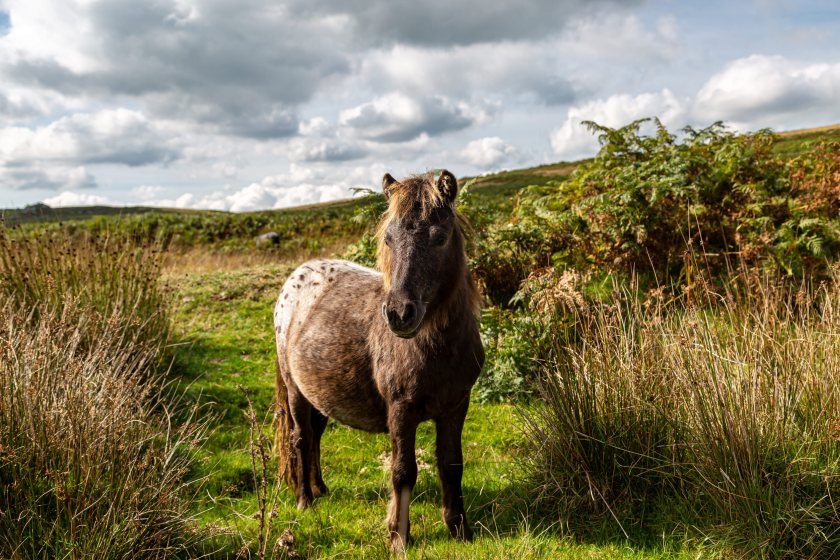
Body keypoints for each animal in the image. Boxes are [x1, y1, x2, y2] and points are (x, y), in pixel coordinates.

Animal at [273, 170, 484, 551]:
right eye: (388, 238)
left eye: (440, 237)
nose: (400, 314)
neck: (436, 347)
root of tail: (297, 276)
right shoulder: (401, 410)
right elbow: (403, 471)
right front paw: (398, 537)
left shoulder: (456, 406)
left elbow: (452, 464)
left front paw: (460, 530)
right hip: (295, 390)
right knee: (300, 438)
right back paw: (304, 500)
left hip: (318, 396)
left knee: (315, 435)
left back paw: (320, 488)